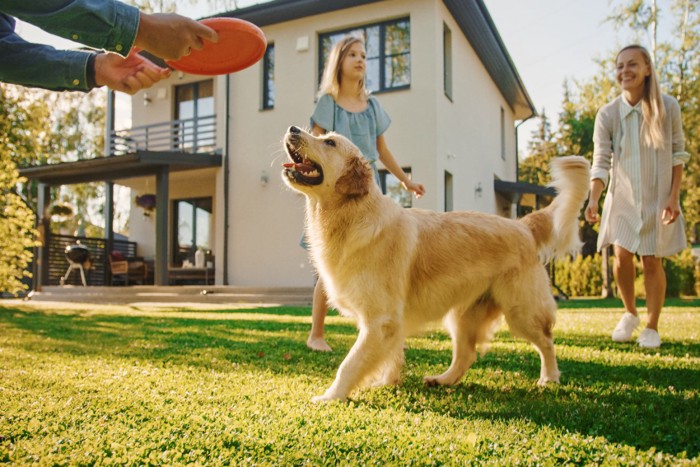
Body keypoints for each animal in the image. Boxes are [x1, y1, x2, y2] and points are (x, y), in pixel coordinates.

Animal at [282, 125, 588, 402]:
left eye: (330, 142)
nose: (293, 128)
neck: (351, 215)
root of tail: (522, 225)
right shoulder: (389, 321)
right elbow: (390, 354)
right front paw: (387, 381)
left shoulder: (380, 319)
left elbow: (350, 363)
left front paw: (330, 397)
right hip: (463, 314)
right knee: (466, 354)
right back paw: (442, 380)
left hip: (520, 310)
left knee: (546, 340)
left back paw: (549, 377)